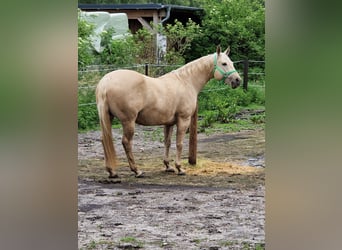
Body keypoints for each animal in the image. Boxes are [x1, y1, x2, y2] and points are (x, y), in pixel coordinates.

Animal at [95, 45, 242, 178]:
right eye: (224, 63)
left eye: (232, 63)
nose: (237, 80)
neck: (186, 81)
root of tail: (105, 83)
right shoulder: (183, 120)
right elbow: (179, 143)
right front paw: (179, 168)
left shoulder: (169, 123)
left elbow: (167, 142)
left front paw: (168, 166)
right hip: (128, 122)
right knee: (126, 142)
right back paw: (136, 171)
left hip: (109, 118)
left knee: (104, 140)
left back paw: (112, 172)